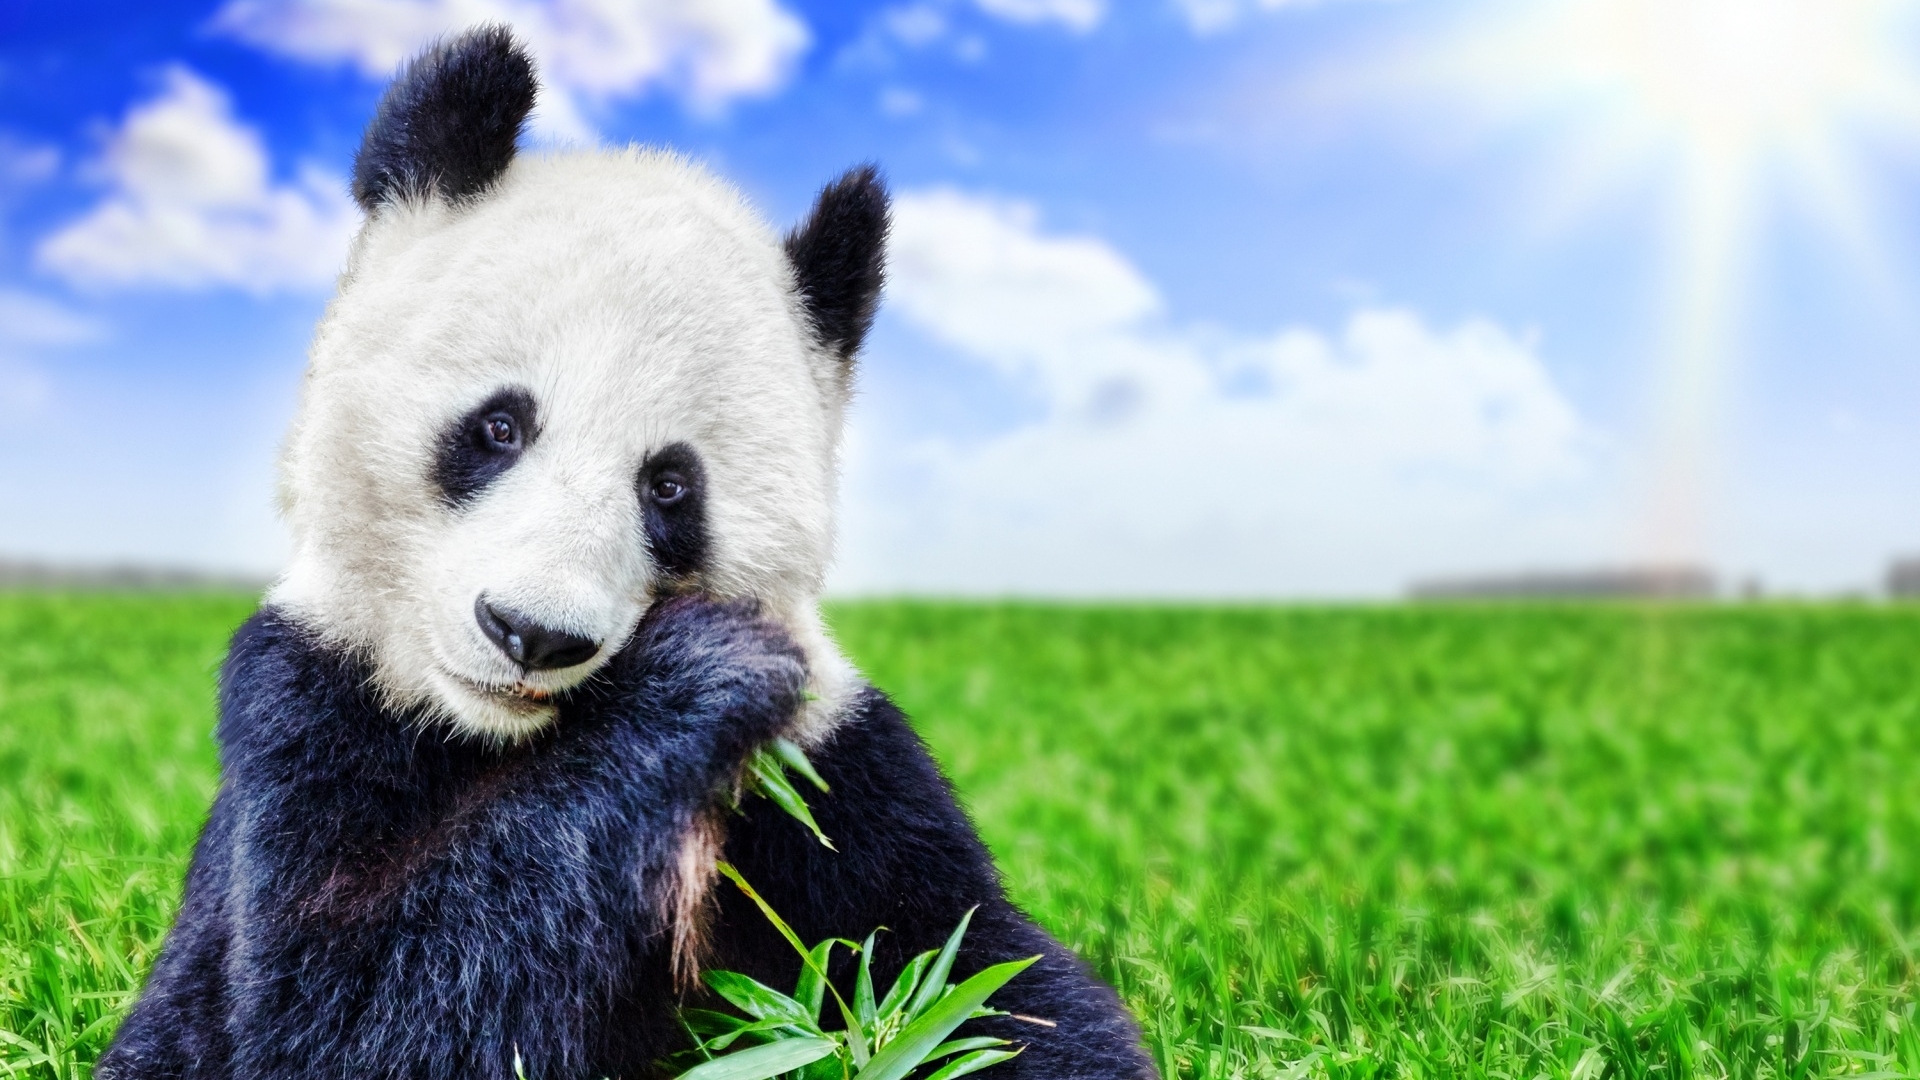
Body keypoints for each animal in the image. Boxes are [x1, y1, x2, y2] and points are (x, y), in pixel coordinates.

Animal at [95, 25, 1154, 1080]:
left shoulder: (830, 767)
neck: (504, 737)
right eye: (500, 427)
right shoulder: (309, 704)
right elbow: (340, 1013)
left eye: (671, 487)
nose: (531, 634)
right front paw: (700, 673)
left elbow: (972, 979)